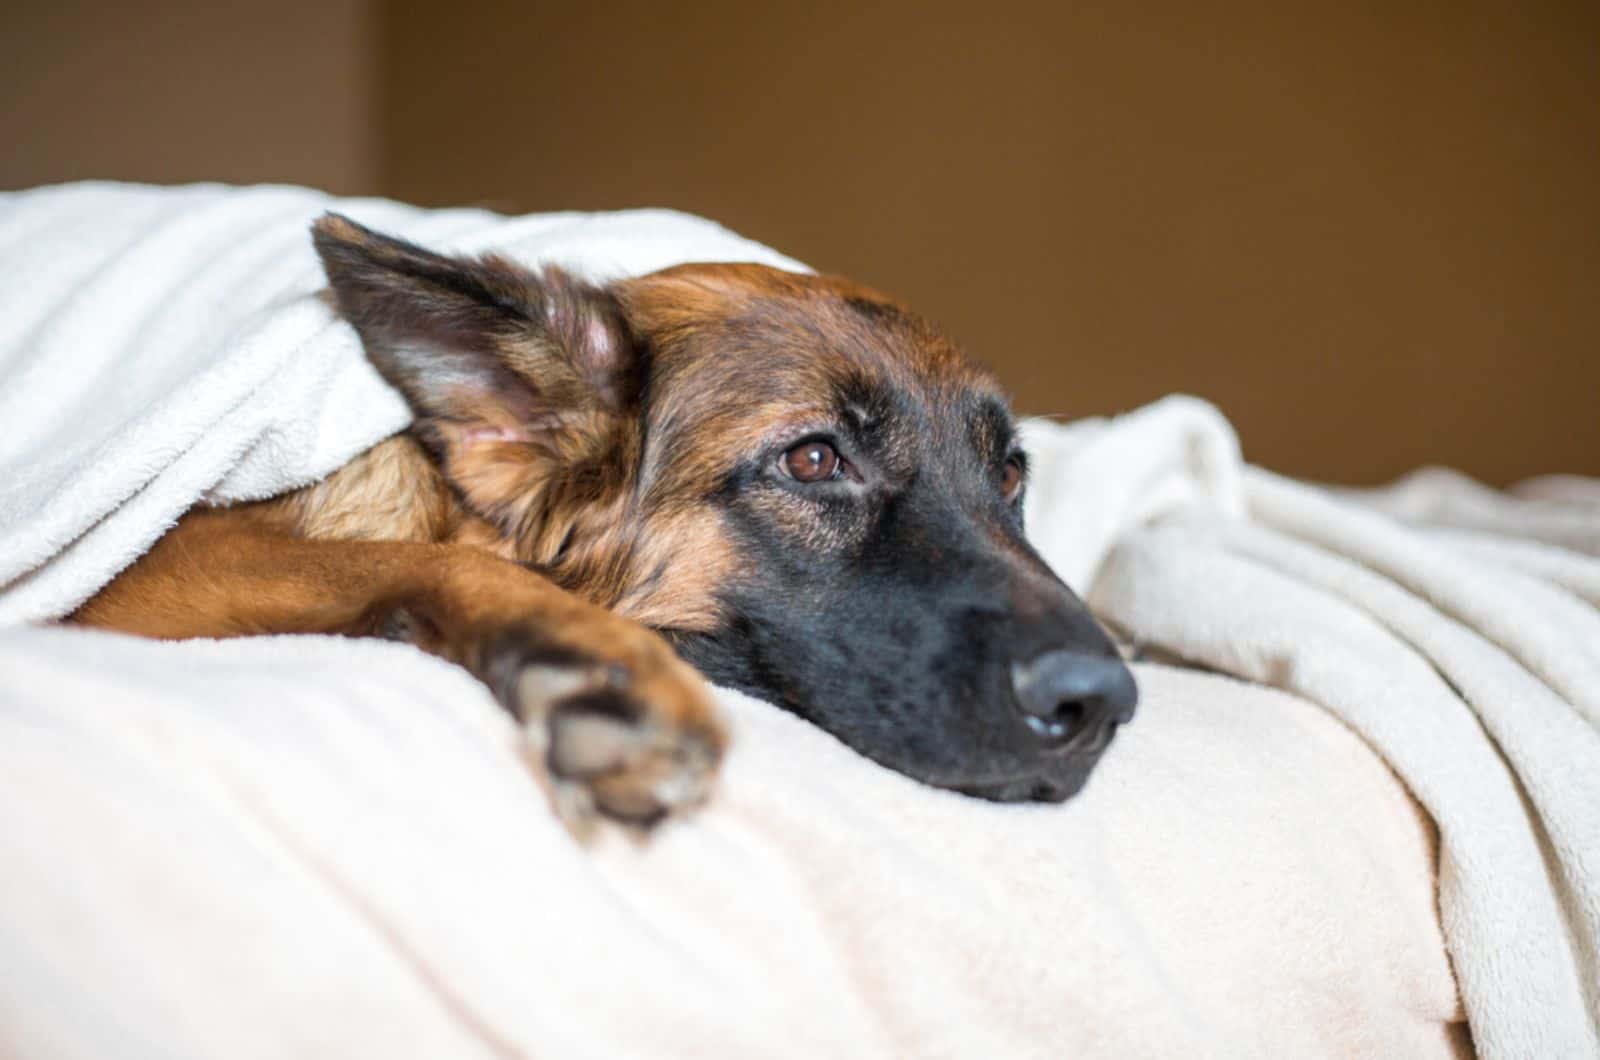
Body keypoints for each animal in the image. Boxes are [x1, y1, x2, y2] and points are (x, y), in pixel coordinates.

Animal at [72, 216, 1139, 832]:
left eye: (1010, 473)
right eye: (813, 460)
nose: (1102, 705)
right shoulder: (154, 569)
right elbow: (413, 561)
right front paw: (597, 667)